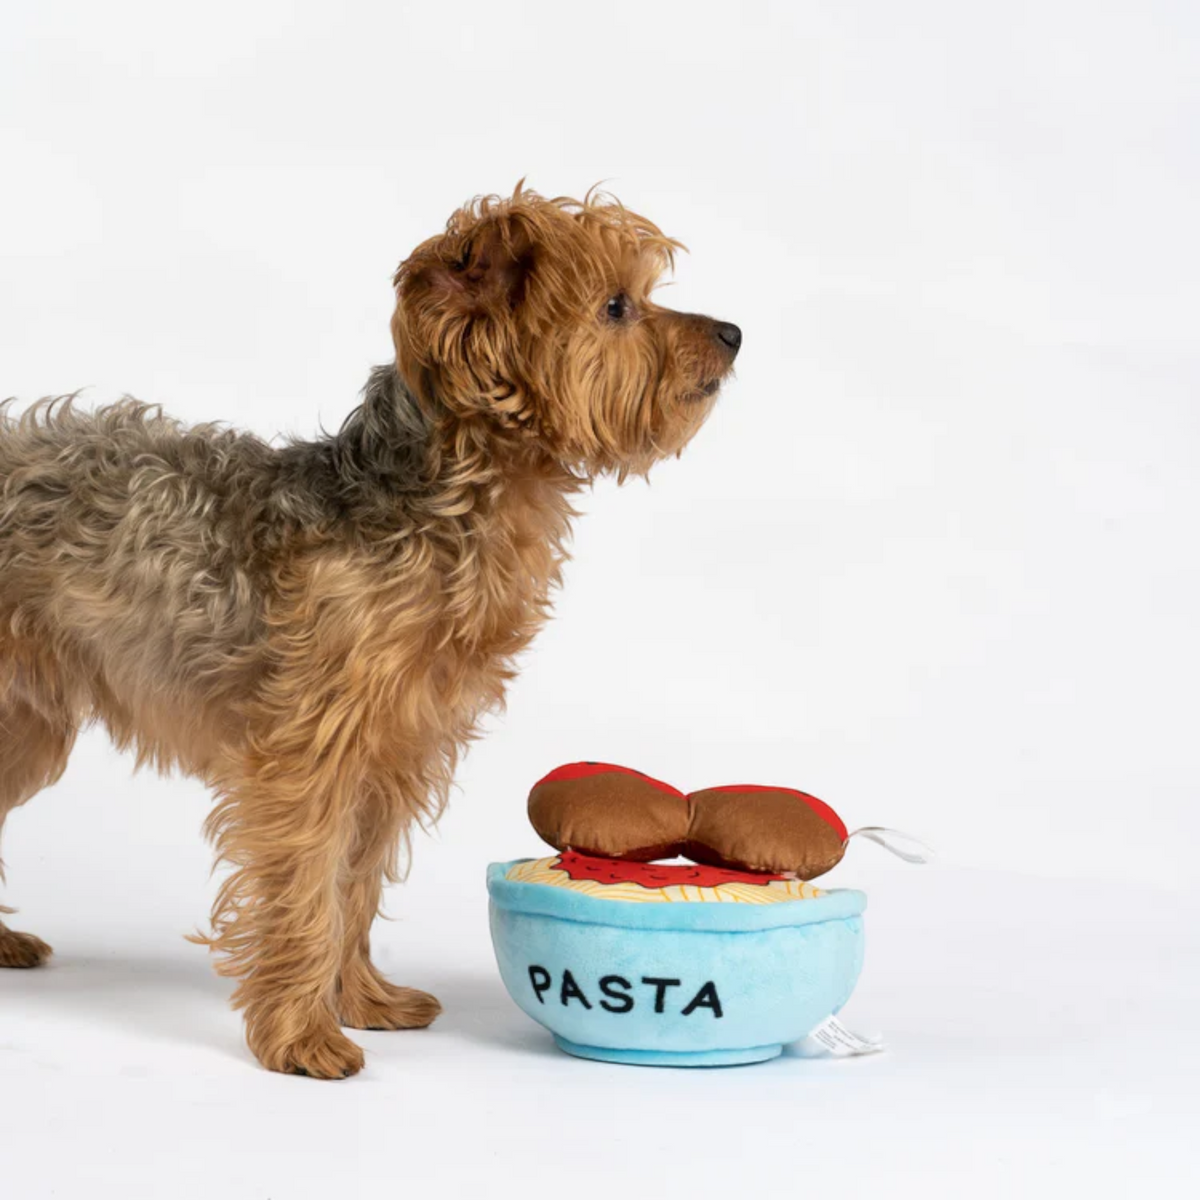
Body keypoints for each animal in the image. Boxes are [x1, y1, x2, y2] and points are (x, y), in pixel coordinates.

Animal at [0, 184, 739, 1080]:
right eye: (617, 307)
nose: (734, 333)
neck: (445, 510)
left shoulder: (393, 753)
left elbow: (353, 885)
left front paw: (360, 1000)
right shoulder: (309, 755)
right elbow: (306, 887)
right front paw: (300, 1036)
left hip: (26, 723)